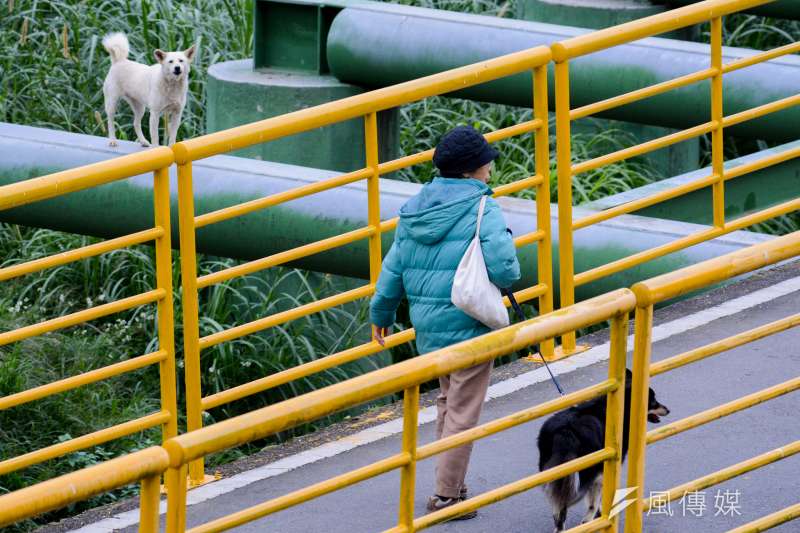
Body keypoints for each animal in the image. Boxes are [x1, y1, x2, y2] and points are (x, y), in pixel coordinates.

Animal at [536, 370, 668, 532]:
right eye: (653, 401)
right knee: (570, 507)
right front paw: (600, 515)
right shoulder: (603, 469)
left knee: (557, 508)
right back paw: (587, 522)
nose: (668, 410)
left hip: (553, 471)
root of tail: (565, 431)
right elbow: (596, 500)